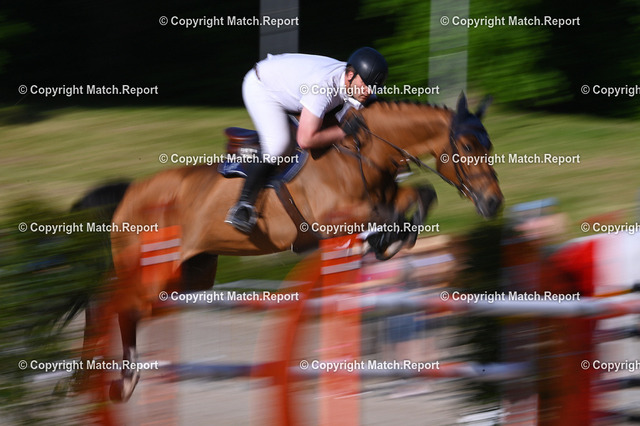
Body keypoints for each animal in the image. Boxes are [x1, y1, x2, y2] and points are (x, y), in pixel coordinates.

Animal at [68, 93, 503, 403]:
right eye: (467, 147)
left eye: (489, 146)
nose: (494, 202)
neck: (361, 151)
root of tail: (130, 193)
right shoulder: (332, 219)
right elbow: (399, 206)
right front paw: (387, 238)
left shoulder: (380, 197)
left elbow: (417, 195)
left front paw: (392, 238)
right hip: (151, 271)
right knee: (112, 304)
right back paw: (111, 382)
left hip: (188, 276)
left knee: (119, 305)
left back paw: (100, 380)